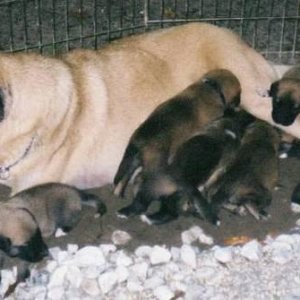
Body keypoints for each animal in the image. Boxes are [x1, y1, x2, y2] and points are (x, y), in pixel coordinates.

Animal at [113, 68, 241, 199]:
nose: (239, 104)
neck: (212, 86)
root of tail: (140, 140)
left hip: (133, 162)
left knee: (124, 179)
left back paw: (119, 193)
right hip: (154, 167)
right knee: (140, 179)